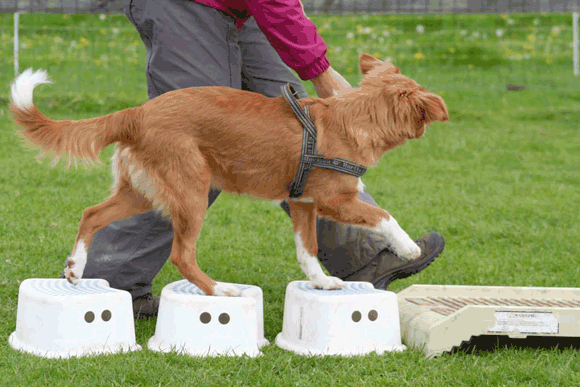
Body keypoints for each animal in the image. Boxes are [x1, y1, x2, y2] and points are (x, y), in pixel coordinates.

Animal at [12, 53, 448, 298]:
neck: (353, 116)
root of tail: (137, 113)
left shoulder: (302, 203)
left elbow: (306, 250)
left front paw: (322, 283)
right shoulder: (333, 200)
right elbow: (383, 215)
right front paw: (408, 249)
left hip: (143, 191)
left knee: (91, 214)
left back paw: (75, 267)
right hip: (192, 192)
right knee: (181, 254)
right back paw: (219, 290)